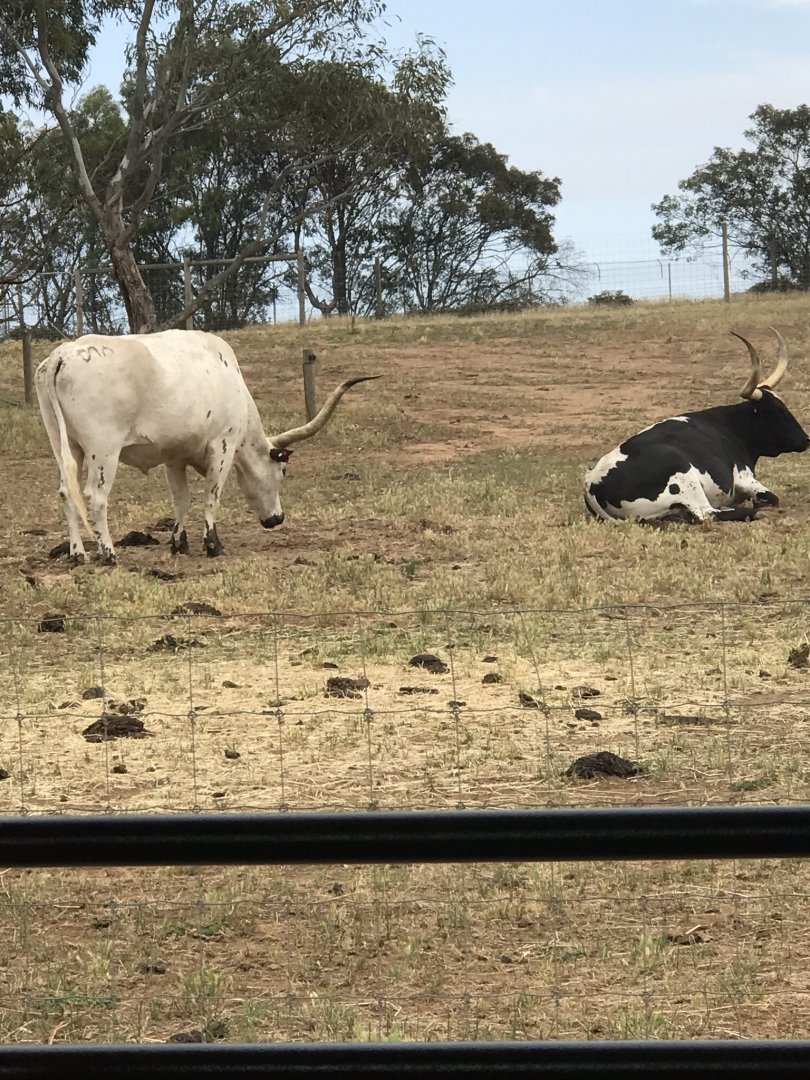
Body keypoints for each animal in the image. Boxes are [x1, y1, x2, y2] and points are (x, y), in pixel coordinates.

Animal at [35, 329, 379, 563]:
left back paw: (78, 553)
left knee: (66, 492)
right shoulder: (222, 446)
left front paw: (179, 542)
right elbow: (211, 496)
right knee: (95, 495)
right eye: (282, 470)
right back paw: (108, 552)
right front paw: (213, 544)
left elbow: (181, 500)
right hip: (103, 449)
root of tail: (64, 354)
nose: (276, 519)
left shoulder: (173, 457)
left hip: (66, 445)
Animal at [584, 327, 810, 524]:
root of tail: (592, 482)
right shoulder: (744, 479)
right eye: (777, 412)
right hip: (684, 476)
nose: (806, 439)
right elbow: (771, 498)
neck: (732, 428)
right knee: (706, 513)